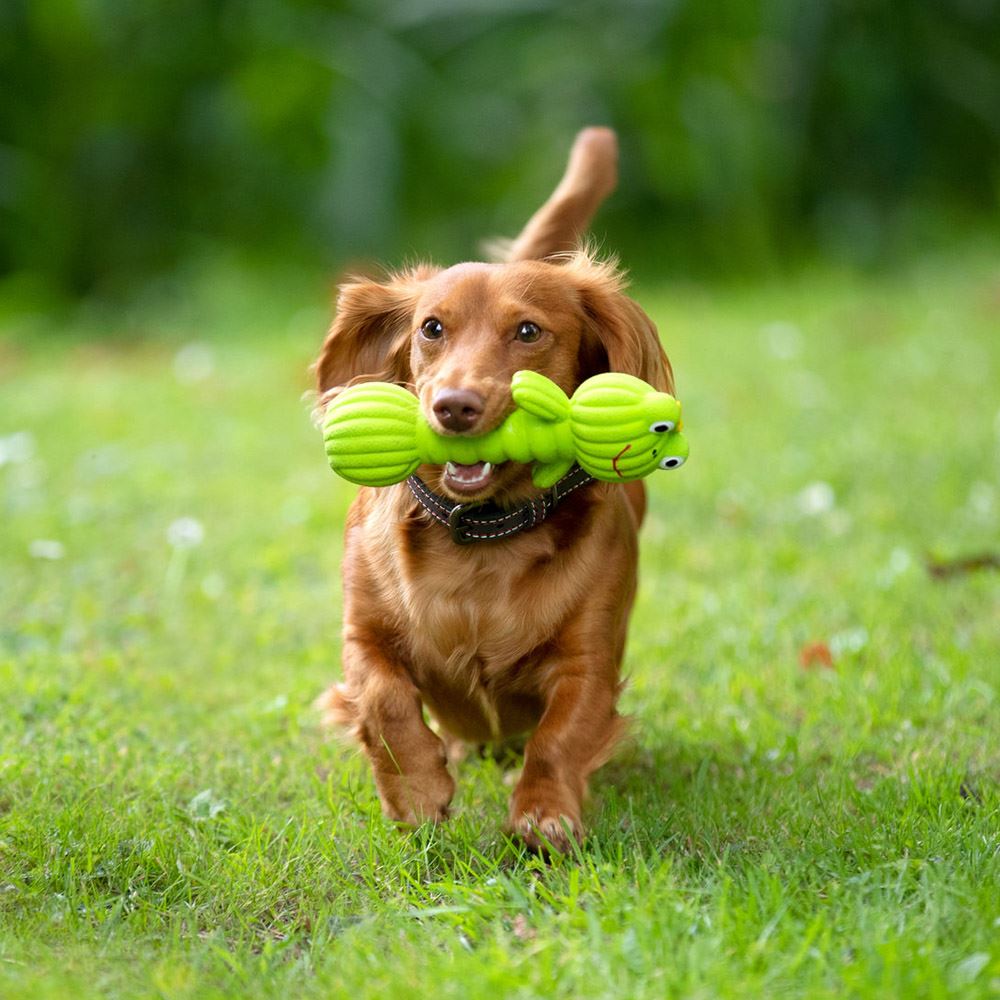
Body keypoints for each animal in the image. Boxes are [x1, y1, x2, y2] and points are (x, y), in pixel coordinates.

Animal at [316, 127, 676, 852]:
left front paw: (542, 813)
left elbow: (562, 734)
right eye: (431, 328)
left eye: (528, 331)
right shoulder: (362, 632)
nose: (454, 407)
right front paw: (417, 791)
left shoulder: (589, 656)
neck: (482, 534)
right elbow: (384, 698)